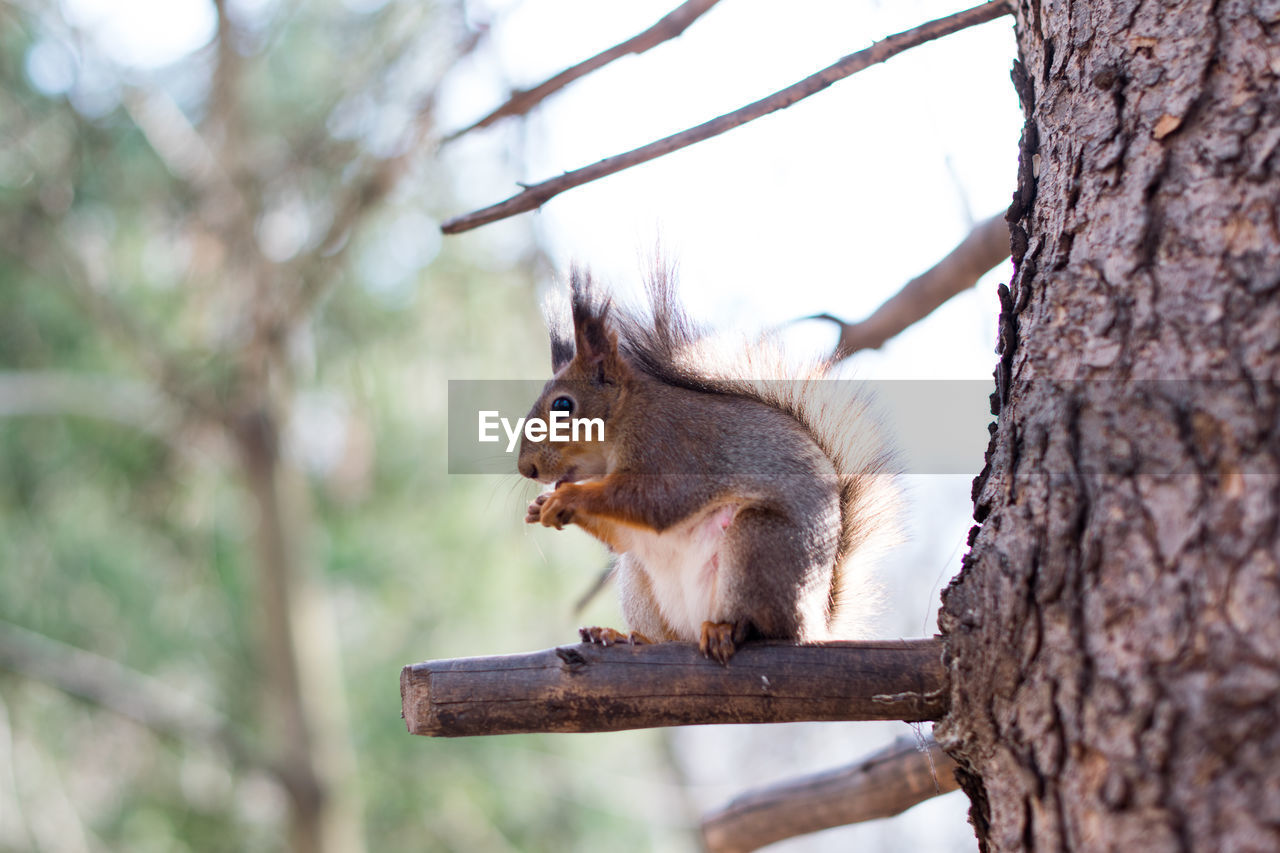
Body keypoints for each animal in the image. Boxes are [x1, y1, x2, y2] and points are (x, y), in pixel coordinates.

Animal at [514, 268, 896, 660]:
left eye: (562, 405)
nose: (526, 469)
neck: (626, 414)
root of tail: (813, 623)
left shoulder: (672, 445)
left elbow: (657, 502)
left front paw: (566, 498)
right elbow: (622, 536)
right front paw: (540, 505)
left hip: (758, 543)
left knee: (763, 625)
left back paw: (728, 629)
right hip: (642, 578)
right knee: (666, 630)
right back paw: (624, 636)